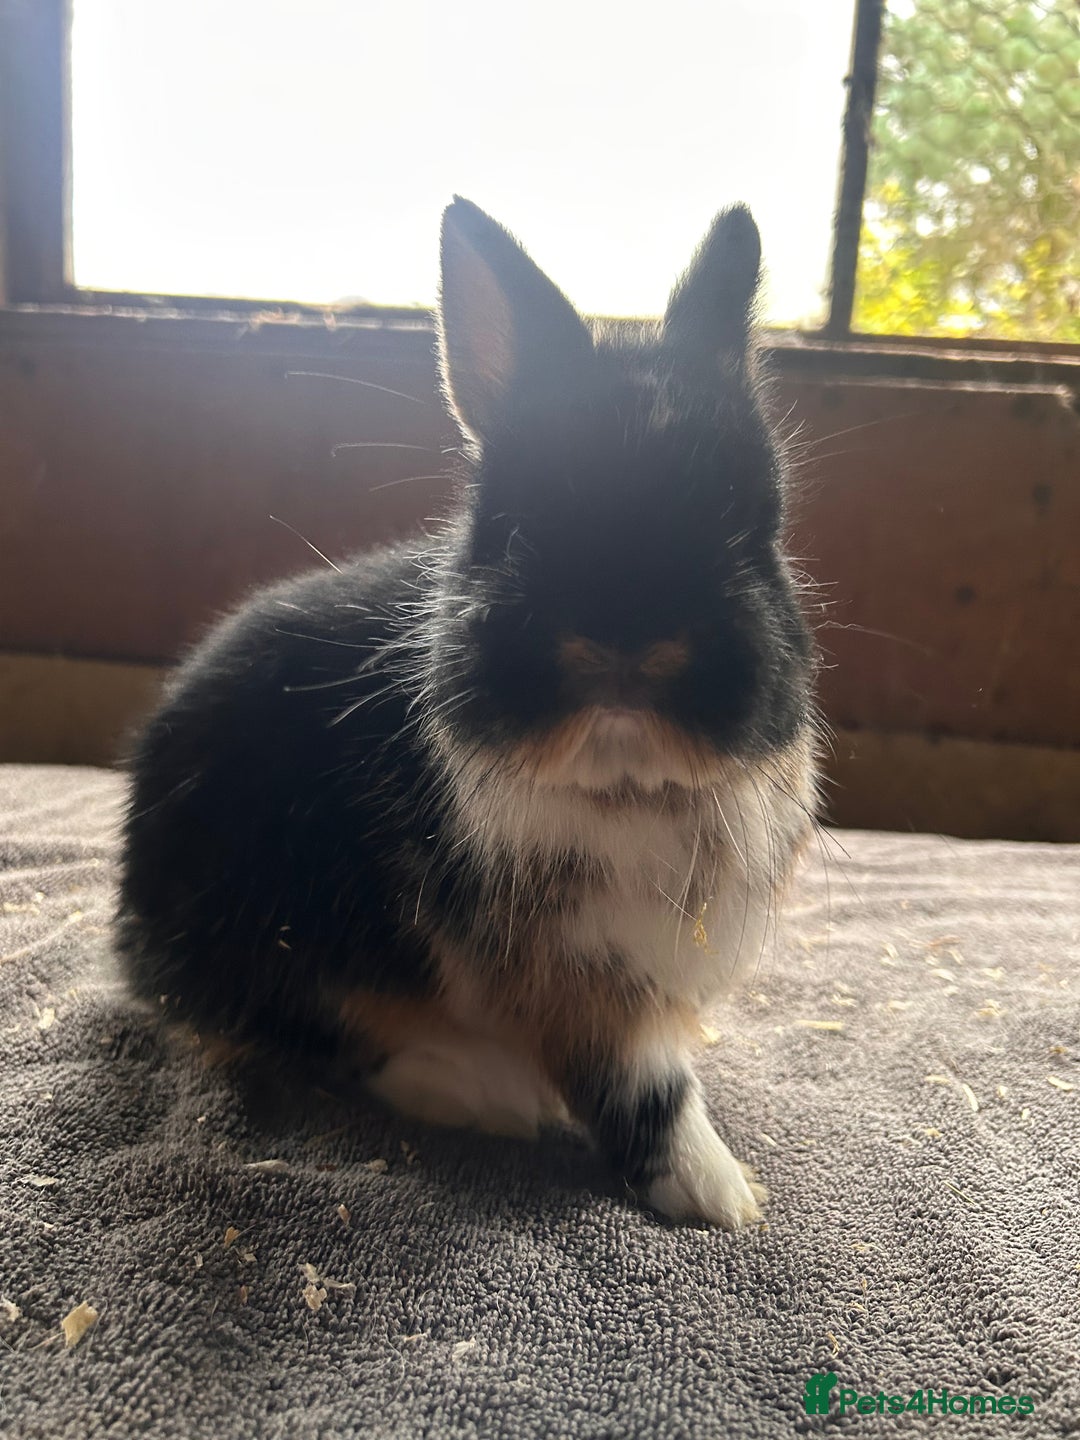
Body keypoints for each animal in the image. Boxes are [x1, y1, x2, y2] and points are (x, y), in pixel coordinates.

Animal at [117, 197, 817, 1229]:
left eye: (758, 526)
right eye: (510, 527)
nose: (626, 647)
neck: (623, 791)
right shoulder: (575, 982)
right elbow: (643, 1089)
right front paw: (721, 1198)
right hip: (278, 930)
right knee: (325, 1035)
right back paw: (486, 1088)